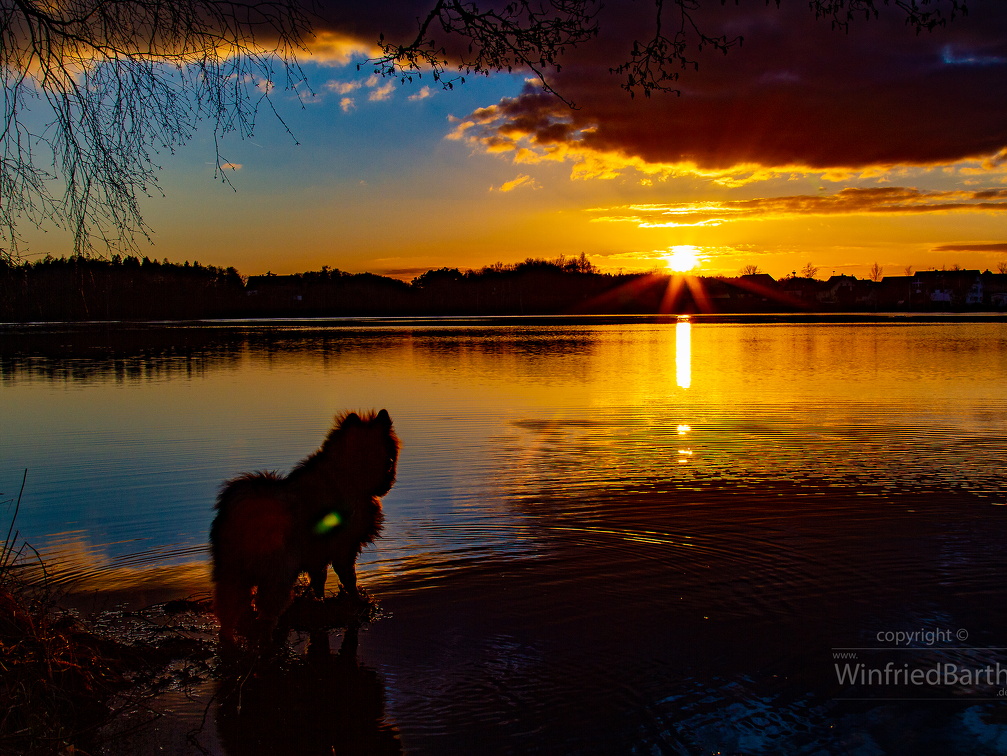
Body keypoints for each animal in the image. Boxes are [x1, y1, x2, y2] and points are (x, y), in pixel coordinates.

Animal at [210, 410, 398, 648]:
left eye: (387, 454)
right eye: (367, 454)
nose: (387, 474)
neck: (342, 476)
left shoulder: (317, 556)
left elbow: (319, 582)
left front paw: (321, 602)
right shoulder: (343, 549)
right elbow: (349, 579)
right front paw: (357, 601)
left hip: (233, 571)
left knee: (228, 608)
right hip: (278, 571)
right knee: (265, 611)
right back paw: (267, 642)